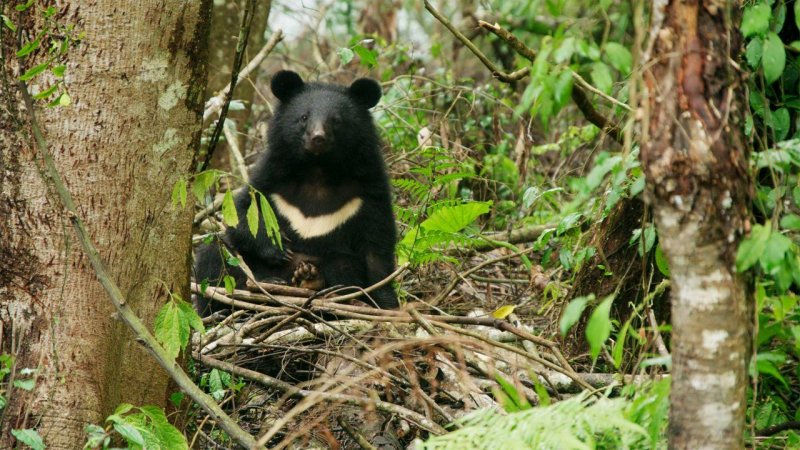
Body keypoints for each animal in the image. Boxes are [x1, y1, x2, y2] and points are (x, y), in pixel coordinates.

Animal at [194, 70, 398, 315]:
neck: (318, 169)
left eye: (336, 120)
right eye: (304, 117)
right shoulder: (270, 176)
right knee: (214, 254)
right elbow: (243, 213)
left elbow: (377, 250)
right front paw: (279, 249)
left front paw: (387, 303)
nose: (318, 138)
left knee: (344, 266)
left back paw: (310, 279)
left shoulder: (369, 189)